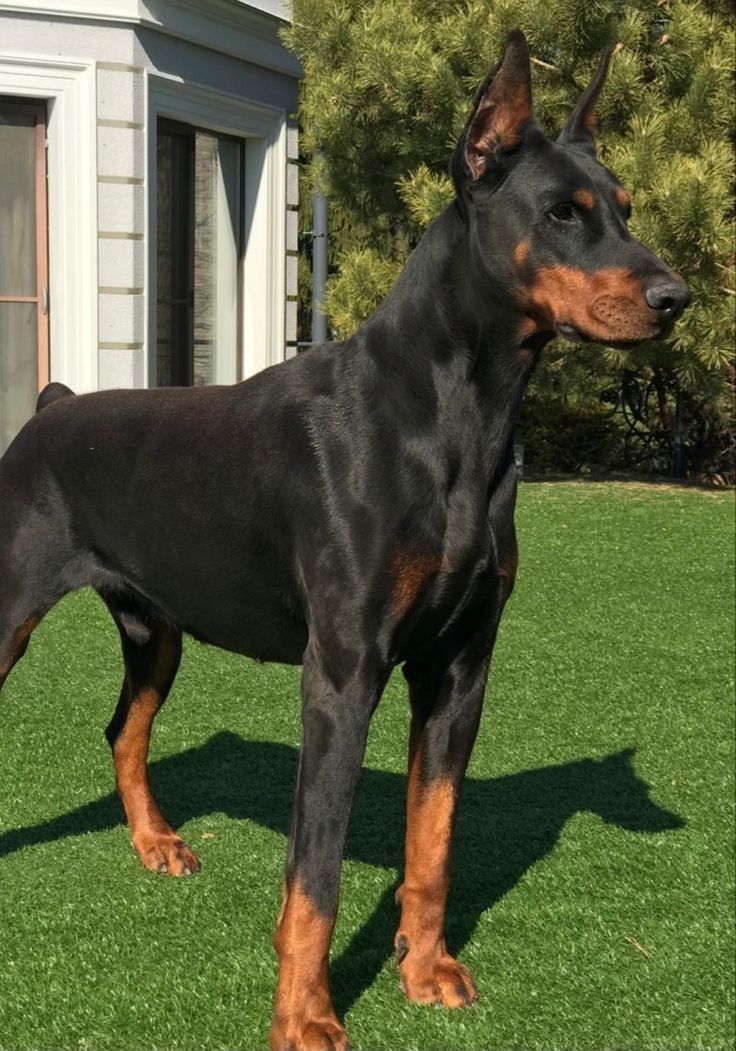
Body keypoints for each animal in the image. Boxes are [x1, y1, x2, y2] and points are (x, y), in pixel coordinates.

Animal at [0, 28, 689, 1051]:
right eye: (563, 214)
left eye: (627, 209)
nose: (676, 296)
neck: (458, 416)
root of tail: (52, 406)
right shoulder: (343, 671)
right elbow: (313, 871)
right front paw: (305, 1014)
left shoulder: (460, 665)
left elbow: (432, 837)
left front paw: (425, 967)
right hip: (7, 609)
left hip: (156, 626)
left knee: (125, 726)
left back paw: (156, 843)